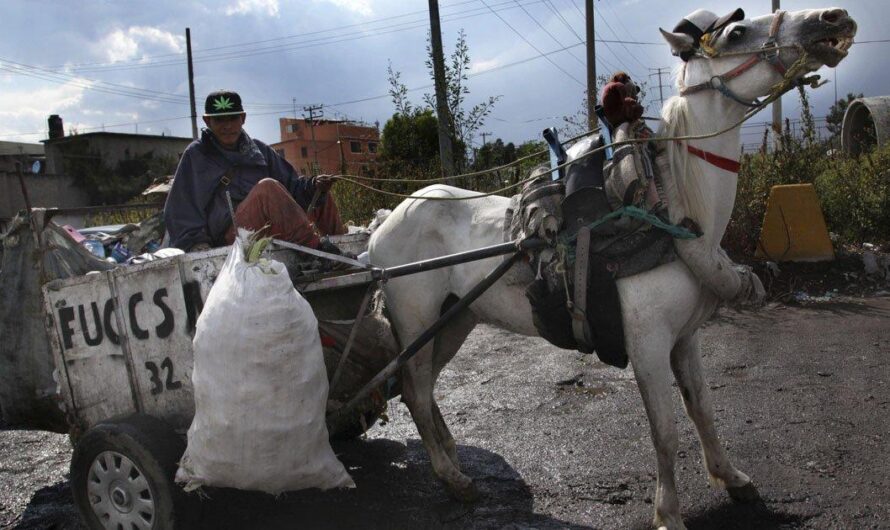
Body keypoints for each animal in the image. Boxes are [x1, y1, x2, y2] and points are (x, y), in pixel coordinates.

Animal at [366, 7, 852, 524]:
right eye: (737, 32)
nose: (832, 18)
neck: (669, 210)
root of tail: (384, 221)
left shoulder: (686, 338)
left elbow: (702, 408)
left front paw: (731, 477)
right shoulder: (648, 345)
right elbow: (666, 432)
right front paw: (668, 513)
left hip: (455, 320)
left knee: (421, 387)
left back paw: (453, 456)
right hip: (417, 321)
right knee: (416, 391)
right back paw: (453, 479)